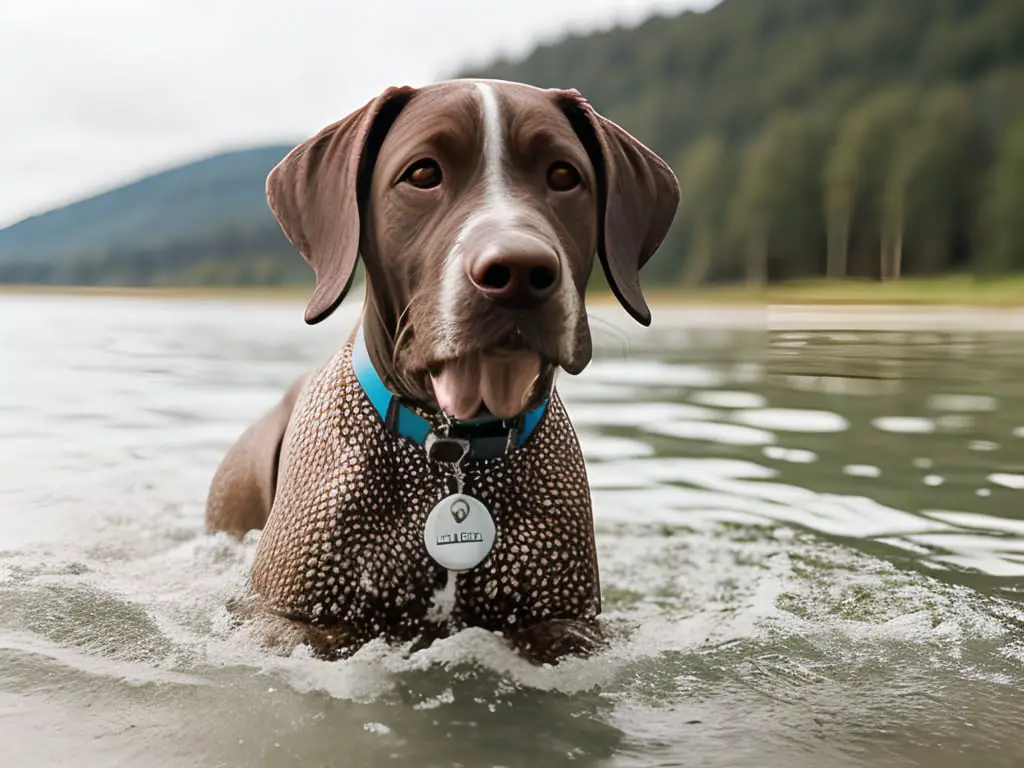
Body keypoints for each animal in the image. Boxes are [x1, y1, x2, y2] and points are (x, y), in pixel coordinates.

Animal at [205, 79, 679, 667]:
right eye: (424, 174)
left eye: (564, 176)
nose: (518, 270)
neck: (454, 449)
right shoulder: (294, 623)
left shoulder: (565, 624)